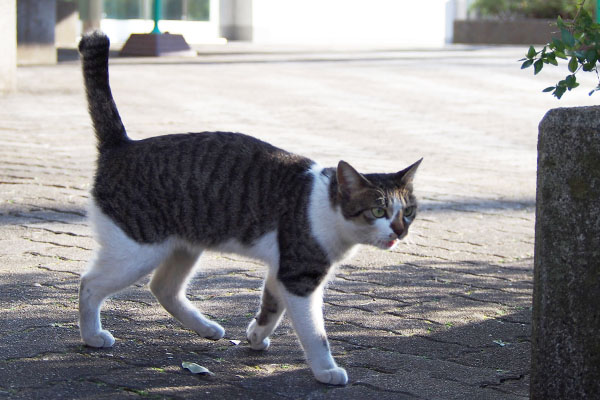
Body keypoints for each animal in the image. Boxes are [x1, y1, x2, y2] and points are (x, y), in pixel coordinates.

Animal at [76, 29, 422, 386]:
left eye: (408, 212)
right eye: (378, 212)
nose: (399, 231)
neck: (327, 206)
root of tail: (122, 146)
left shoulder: (281, 271)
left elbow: (271, 308)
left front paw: (256, 336)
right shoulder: (300, 276)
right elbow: (314, 333)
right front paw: (326, 370)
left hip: (183, 247)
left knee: (163, 288)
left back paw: (206, 328)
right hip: (137, 251)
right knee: (89, 284)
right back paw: (92, 336)